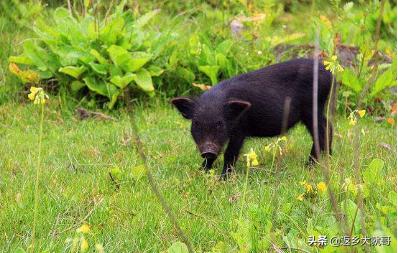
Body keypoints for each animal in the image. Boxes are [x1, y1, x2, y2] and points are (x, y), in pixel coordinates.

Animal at [171, 58, 332, 179]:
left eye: (220, 123)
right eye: (196, 123)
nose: (208, 150)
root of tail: (329, 73)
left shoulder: (240, 130)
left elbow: (230, 154)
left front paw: (223, 179)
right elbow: (211, 159)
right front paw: (200, 173)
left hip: (312, 108)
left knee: (321, 132)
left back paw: (309, 166)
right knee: (329, 125)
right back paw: (328, 157)